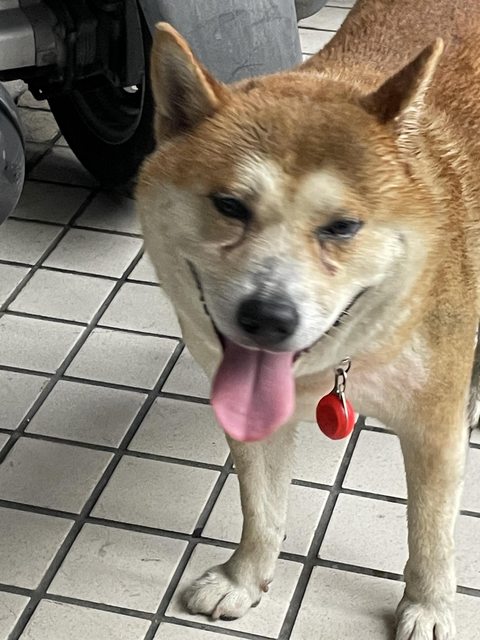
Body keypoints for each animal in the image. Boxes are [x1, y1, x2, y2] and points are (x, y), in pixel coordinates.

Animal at [136, 1, 480, 637]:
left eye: (342, 227)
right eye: (229, 206)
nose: (267, 317)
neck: (344, 365)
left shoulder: (432, 429)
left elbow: (432, 533)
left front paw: (430, 606)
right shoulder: (251, 417)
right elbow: (262, 509)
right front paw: (245, 579)